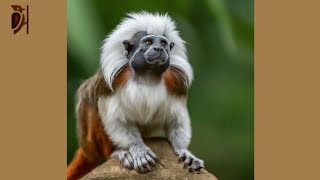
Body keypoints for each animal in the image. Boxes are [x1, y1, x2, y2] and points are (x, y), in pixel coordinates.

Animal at [66, 11, 204, 179]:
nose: (158, 48)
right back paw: (118, 152)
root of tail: (87, 148)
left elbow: (177, 120)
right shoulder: (110, 83)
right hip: (91, 141)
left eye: (163, 43)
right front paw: (138, 150)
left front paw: (184, 151)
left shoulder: (176, 83)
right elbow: (116, 121)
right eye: (148, 42)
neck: (147, 77)